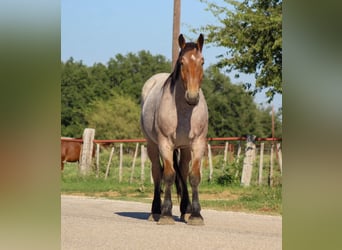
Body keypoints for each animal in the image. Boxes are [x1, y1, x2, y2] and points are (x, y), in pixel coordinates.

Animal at [140, 33, 207, 227]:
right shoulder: (165, 144)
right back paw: (155, 210)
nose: (192, 97)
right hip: (152, 145)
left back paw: (186, 210)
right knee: (157, 173)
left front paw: (196, 215)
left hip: (184, 148)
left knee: (183, 172)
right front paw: (166, 214)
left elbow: (194, 176)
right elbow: (168, 175)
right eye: (182, 62)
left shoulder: (198, 143)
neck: (184, 112)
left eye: (202, 62)